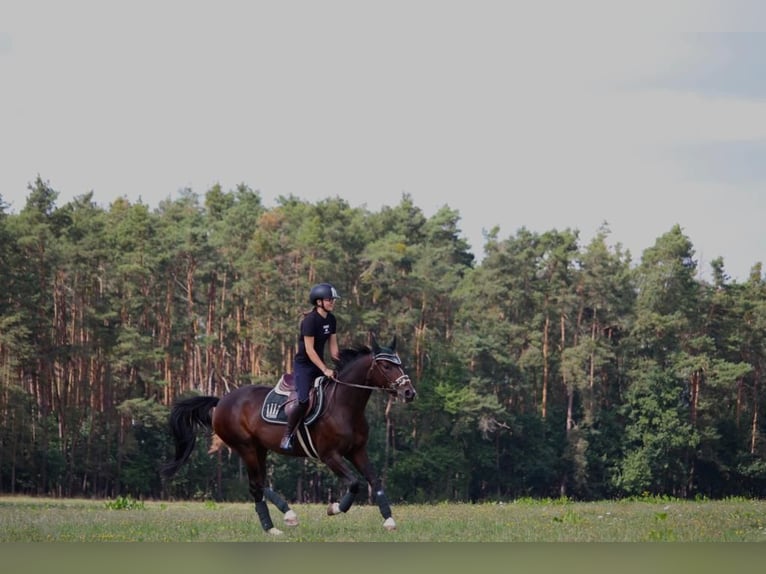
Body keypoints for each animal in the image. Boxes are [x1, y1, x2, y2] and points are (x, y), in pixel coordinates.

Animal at [158, 336, 416, 536]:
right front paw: (334, 508)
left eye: (400, 364)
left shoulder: (357, 451)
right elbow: (354, 483)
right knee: (255, 485)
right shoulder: (329, 455)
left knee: (260, 483)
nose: (409, 392)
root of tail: (221, 401)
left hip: (259, 449)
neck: (345, 405)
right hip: (246, 447)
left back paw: (285, 517)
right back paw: (273, 526)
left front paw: (389, 520)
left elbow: (375, 480)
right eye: (385, 366)